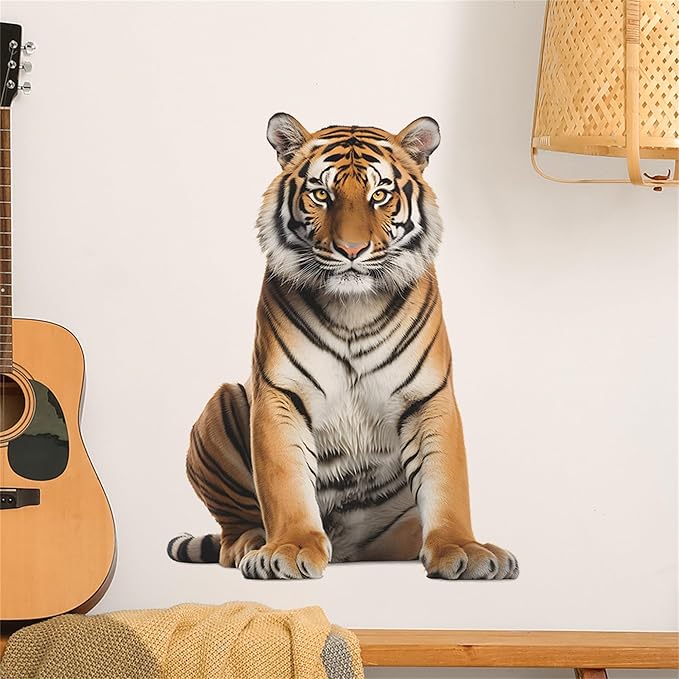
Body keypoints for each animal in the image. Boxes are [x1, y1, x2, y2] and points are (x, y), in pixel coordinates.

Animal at [167, 113, 519, 580]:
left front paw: (464, 548)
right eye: (321, 194)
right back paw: (251, 543)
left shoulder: (428, 396)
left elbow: (446, 478)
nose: (351, 250)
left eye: (380, 195)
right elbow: (283, 479)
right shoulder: (281, 393)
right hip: (222, 402)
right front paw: (291, 547)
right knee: (234, 525)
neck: (355, 307)